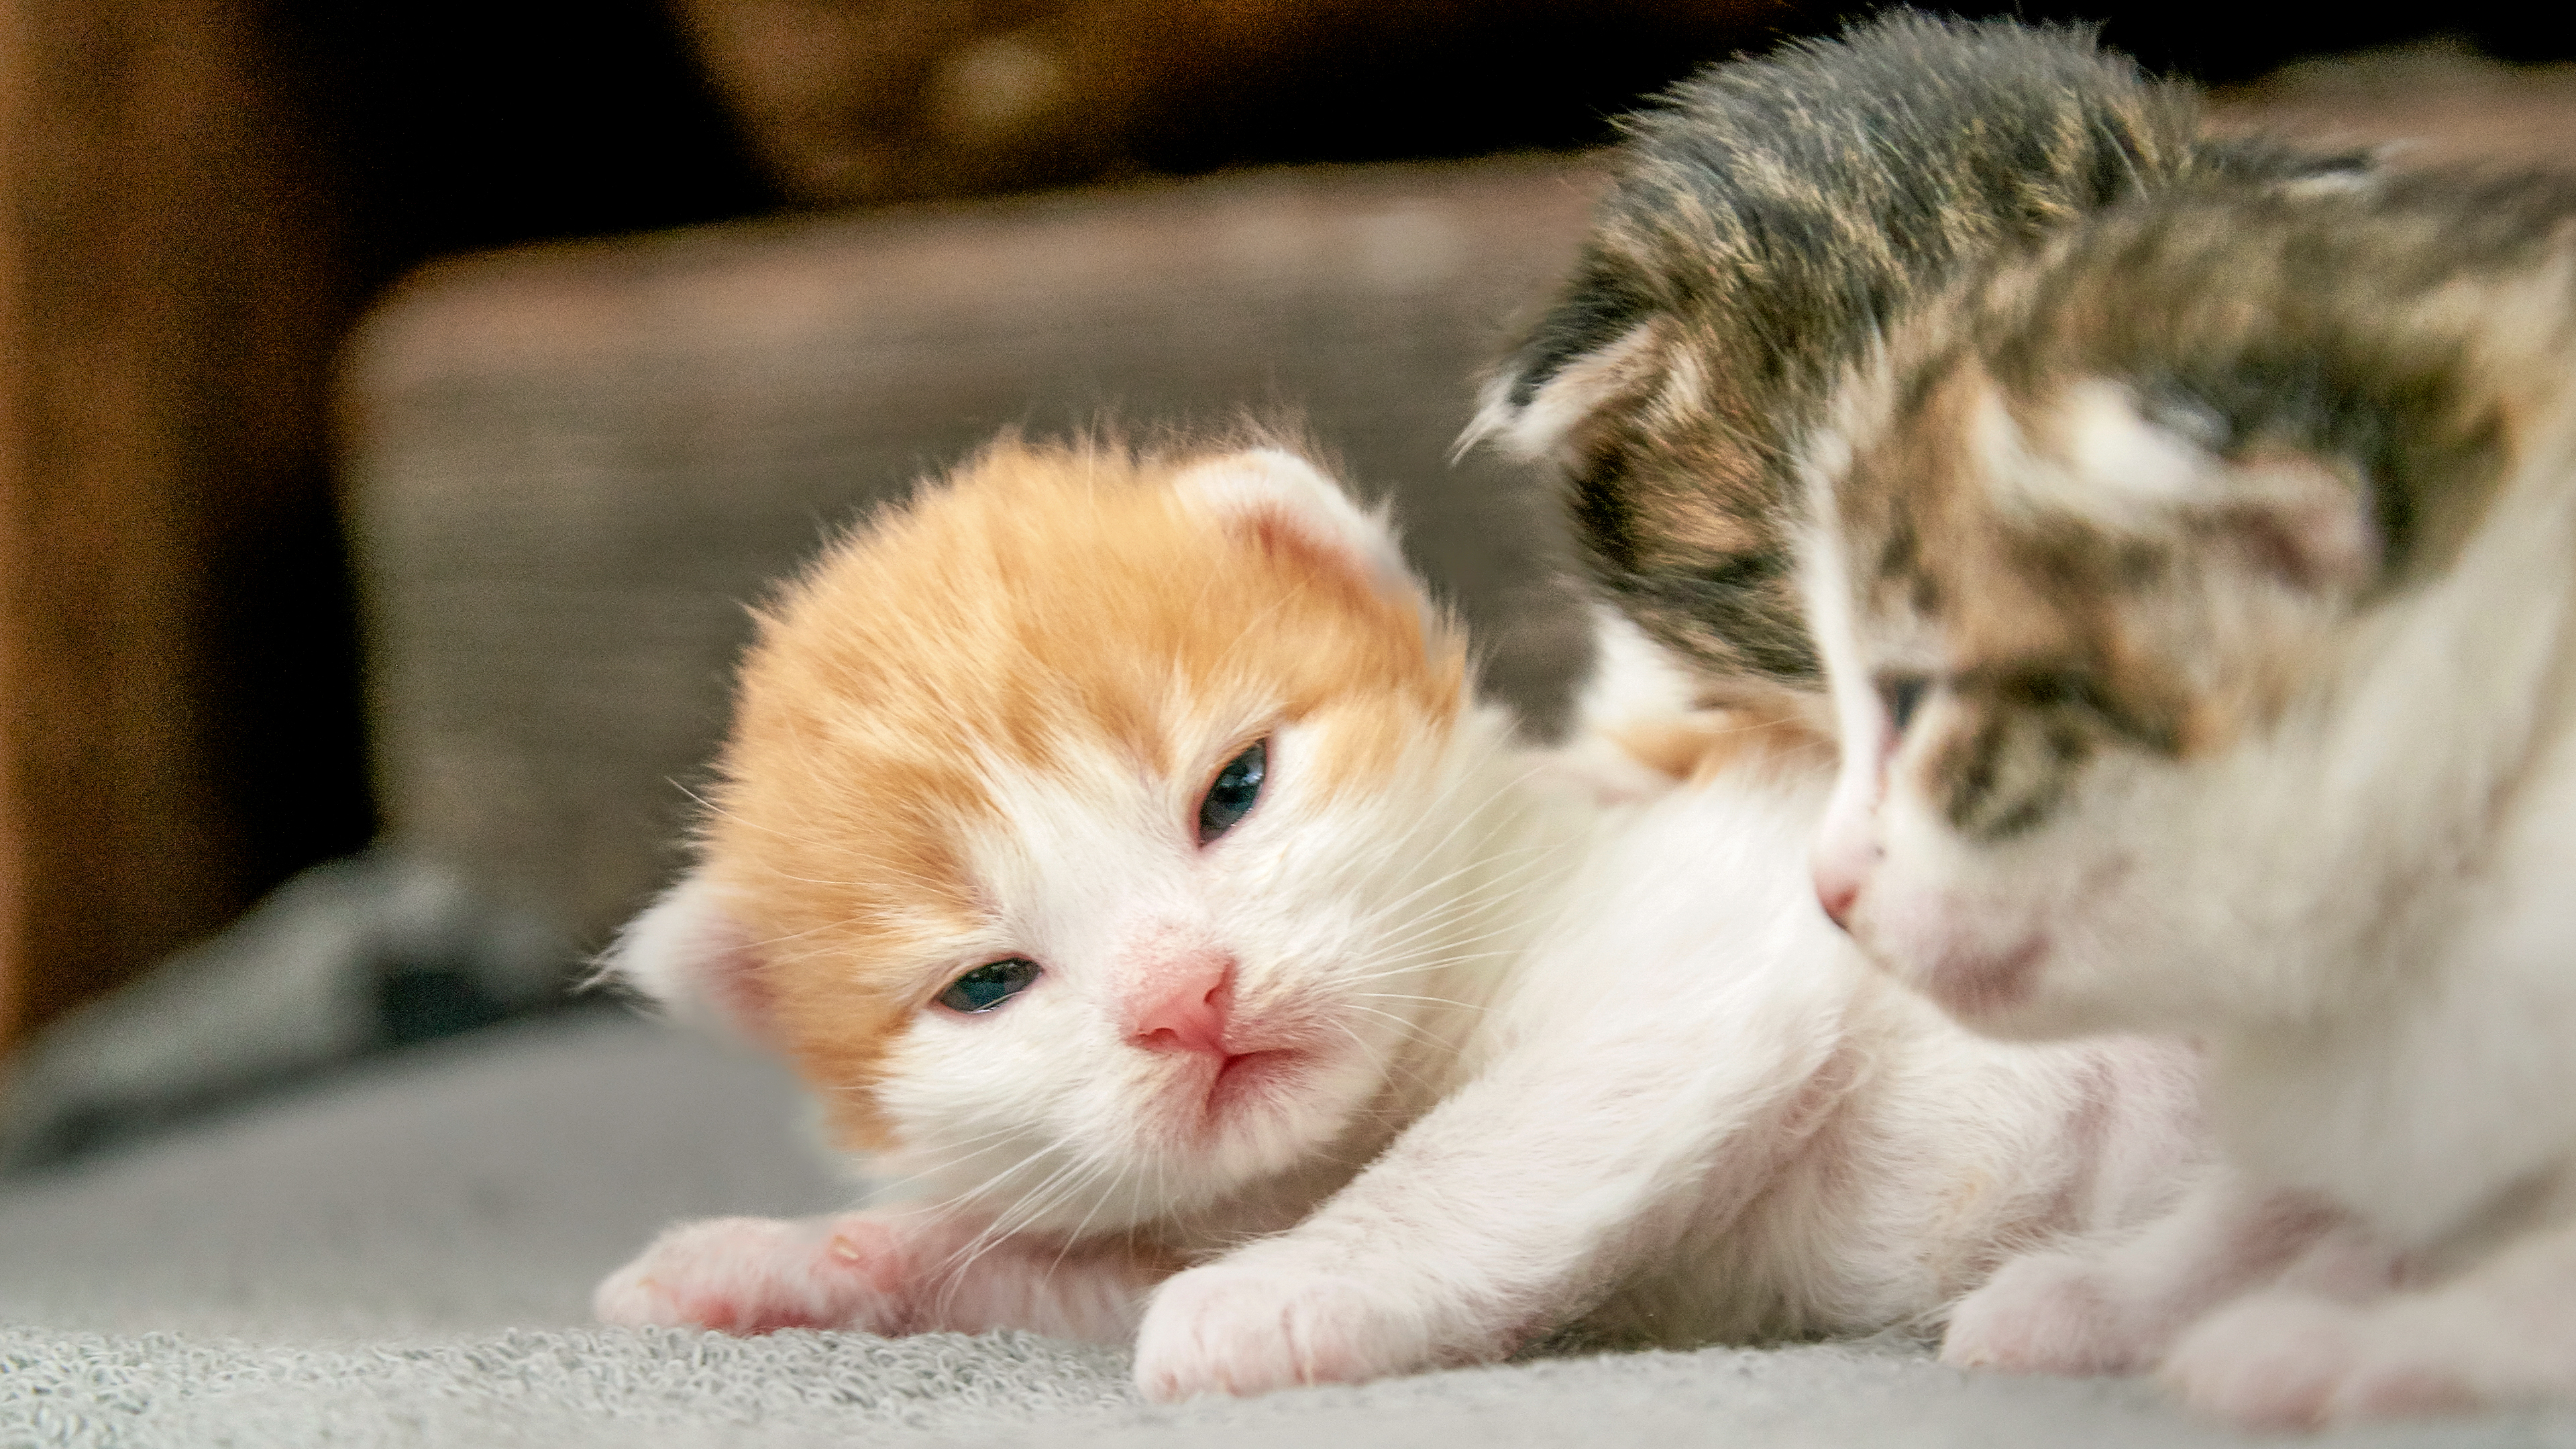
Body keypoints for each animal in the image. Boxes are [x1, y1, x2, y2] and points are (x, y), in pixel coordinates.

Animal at [597, 438, 2194, 1392]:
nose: (1184, 997)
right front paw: (784, 1261)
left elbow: (1480, 1151)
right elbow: (1039, 1271)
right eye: (986, 986)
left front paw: (1287, 1286)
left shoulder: (1712, 930)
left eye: (1234, 789)